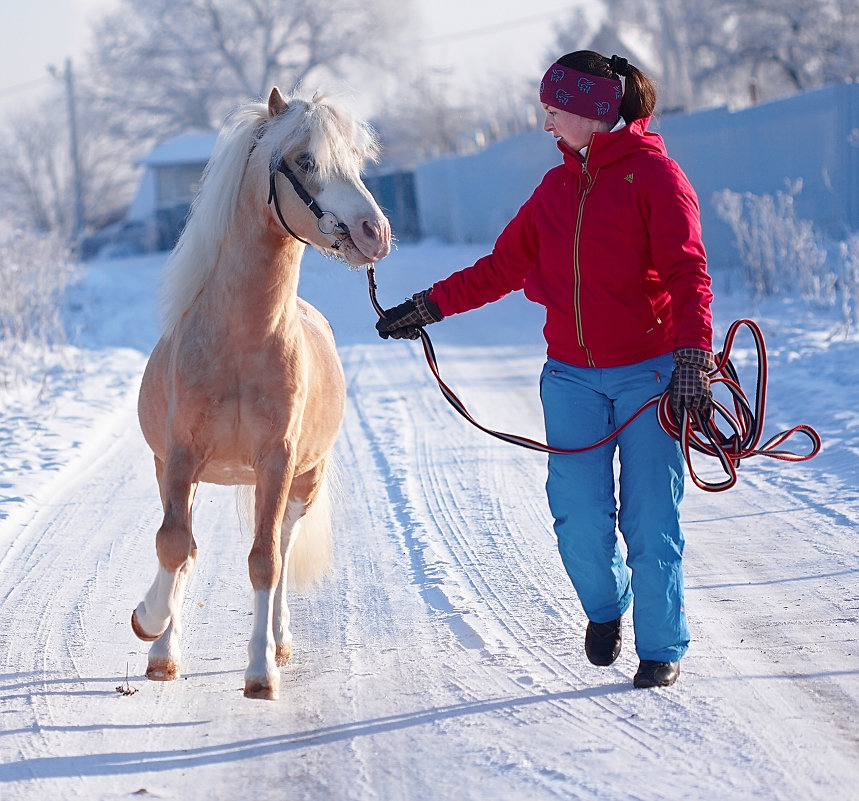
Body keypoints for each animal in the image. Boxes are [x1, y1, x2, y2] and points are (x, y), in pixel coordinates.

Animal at [134, 89, 394, 700]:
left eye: (356, 159)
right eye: (304, 161)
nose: (374, 232)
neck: (241, 340)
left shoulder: (276, 461)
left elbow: (265, 562)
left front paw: (260, 672)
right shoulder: (179, 459)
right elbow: (174, 545)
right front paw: (151, 630)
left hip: (302, 481)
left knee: (281, 547)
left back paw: (278, 642)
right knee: (187, 547)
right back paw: (165, 648)